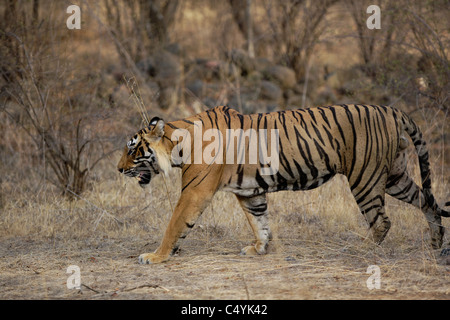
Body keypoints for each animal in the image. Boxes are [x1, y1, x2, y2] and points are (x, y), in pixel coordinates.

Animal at [118, 104, 448, 264]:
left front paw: (155, 256)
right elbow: (259, 221)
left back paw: (363, 248)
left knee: (382, 220)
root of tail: (392, 110)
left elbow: (174, 224)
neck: (178, 143)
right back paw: (435, 242)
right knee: (428, 201)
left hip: (365, 177)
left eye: (133, 150)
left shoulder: (195, 192)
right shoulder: (249, 191)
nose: (119, 169)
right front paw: (259, 248)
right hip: (394, 176)